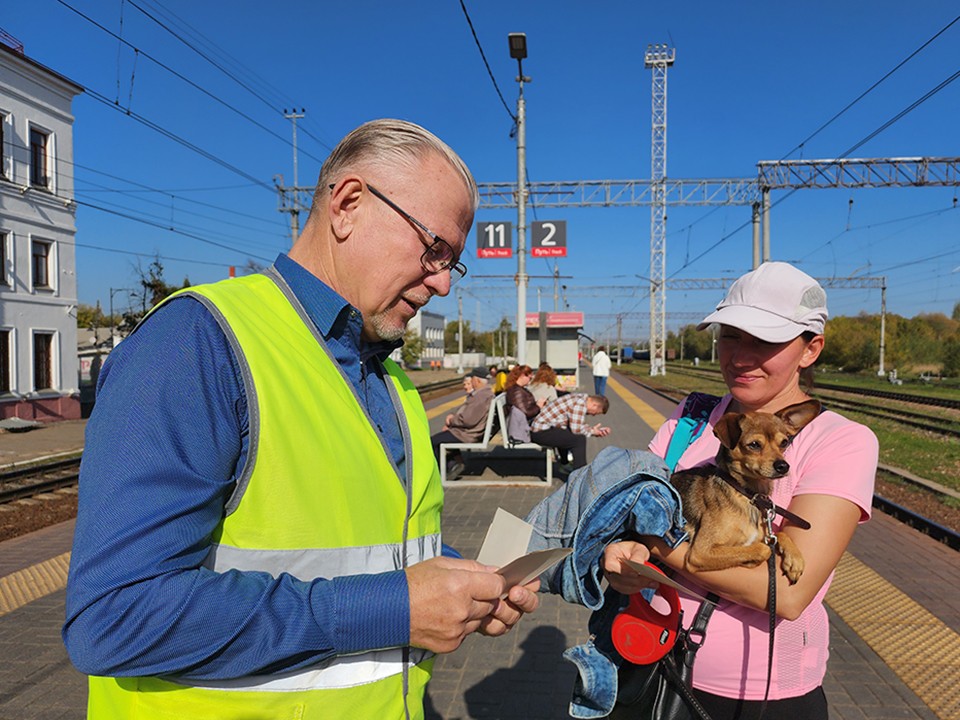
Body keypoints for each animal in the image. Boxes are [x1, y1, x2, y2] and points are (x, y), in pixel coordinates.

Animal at [672, 400, 820, 584]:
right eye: (754, 445)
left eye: (784, 443)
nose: (783, 466)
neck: (749, 494)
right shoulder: (700, 552)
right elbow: (764, 549)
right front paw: (751, 560)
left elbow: (779, 534)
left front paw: (795, 559)